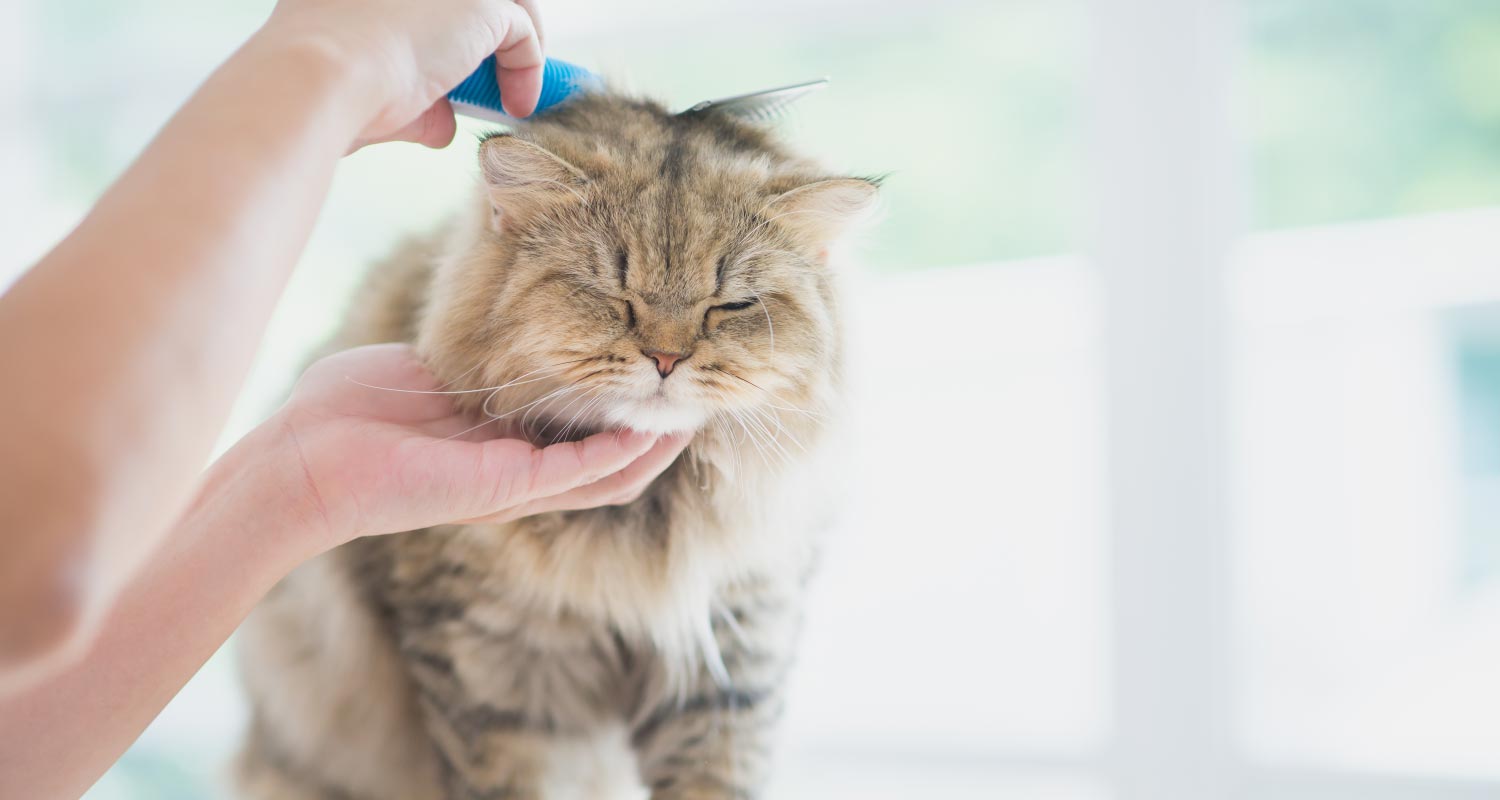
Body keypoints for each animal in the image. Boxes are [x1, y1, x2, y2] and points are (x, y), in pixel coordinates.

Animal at [228, 88, 876, 798]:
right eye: (612, 291)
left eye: (729, 305)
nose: (666, 359)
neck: (644, 525)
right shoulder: (492, 673)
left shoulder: (732, 657)